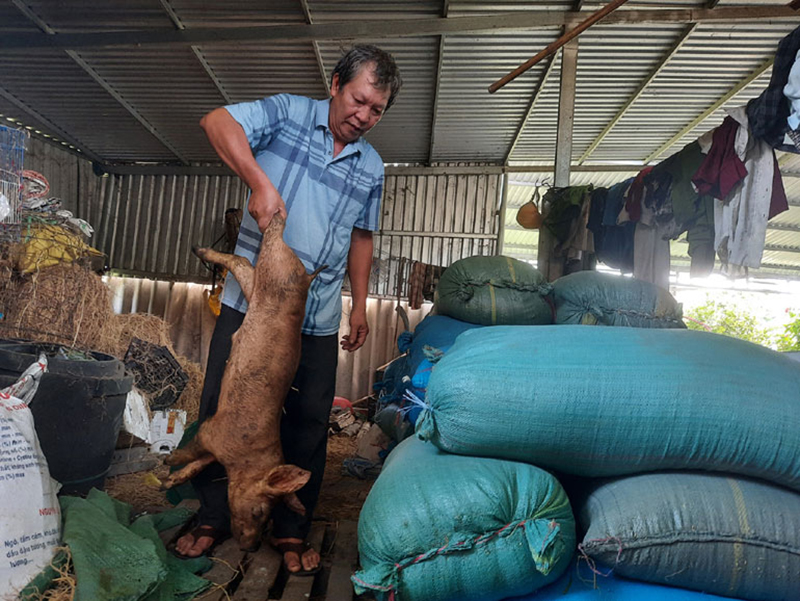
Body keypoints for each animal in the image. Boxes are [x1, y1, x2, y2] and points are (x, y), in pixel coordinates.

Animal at [161, 214, 324, 548]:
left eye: (270, 517)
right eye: (261, 510)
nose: (251, 545)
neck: (249, 459)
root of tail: (306, 277)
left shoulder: (214, 449)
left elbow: (198, 465)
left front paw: (168, 481)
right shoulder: (212, 432)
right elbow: (191, 453)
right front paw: (168, 461)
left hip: (256, 284)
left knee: (241, 261)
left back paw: (199, 249)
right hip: (273, 267)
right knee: (259, 245)